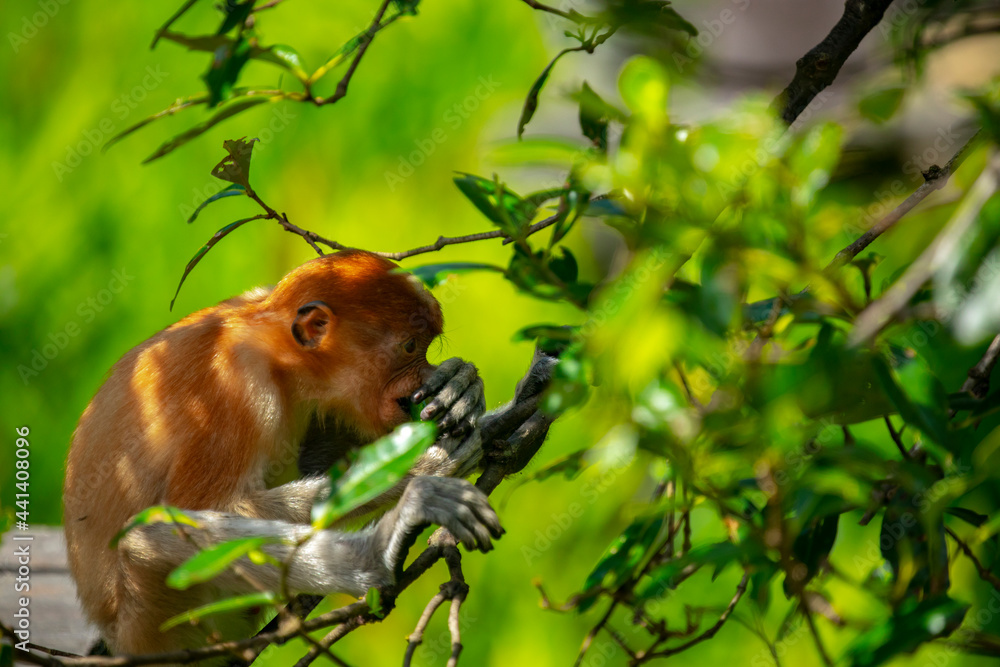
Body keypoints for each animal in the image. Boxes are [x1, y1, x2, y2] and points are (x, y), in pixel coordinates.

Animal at [63, 250, 523, 659]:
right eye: (410, 346)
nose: (426, 375)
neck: (275, 349)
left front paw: (461, 386)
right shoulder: (231, 386)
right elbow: (201, 506)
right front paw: (422, 467)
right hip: (150, 618)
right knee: (150, 536)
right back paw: (377, 552)